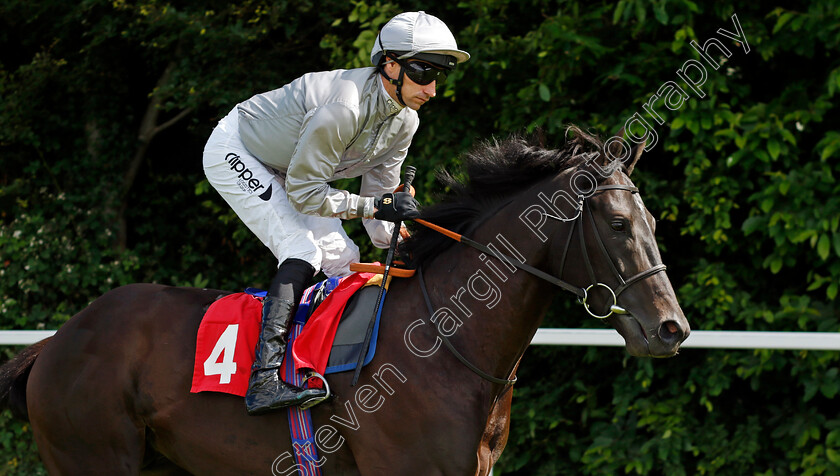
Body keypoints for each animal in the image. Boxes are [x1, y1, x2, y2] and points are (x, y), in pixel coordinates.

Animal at [0, 128, 688, 474]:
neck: (446, 343)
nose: (671, 328)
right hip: (92, 456)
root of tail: (56, 343)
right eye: (619, 224)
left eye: (652, 220)